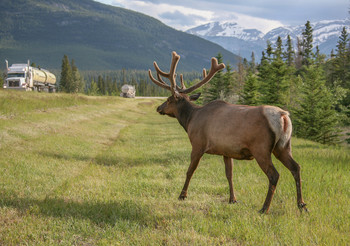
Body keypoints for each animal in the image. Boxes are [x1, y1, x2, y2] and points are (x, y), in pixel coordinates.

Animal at [148, 50, 306, 213]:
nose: (159, 108)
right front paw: (233, 199)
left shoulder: (198, 144)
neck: (190, 120)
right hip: (283, 146)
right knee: (296, 167)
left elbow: (190, 170)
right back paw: (301, 205)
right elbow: (229, 174)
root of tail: (283, 116)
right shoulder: (226, 151)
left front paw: (182, 195)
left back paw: (264, 208)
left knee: (274, 175)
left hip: (261, 148)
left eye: (168, 99)